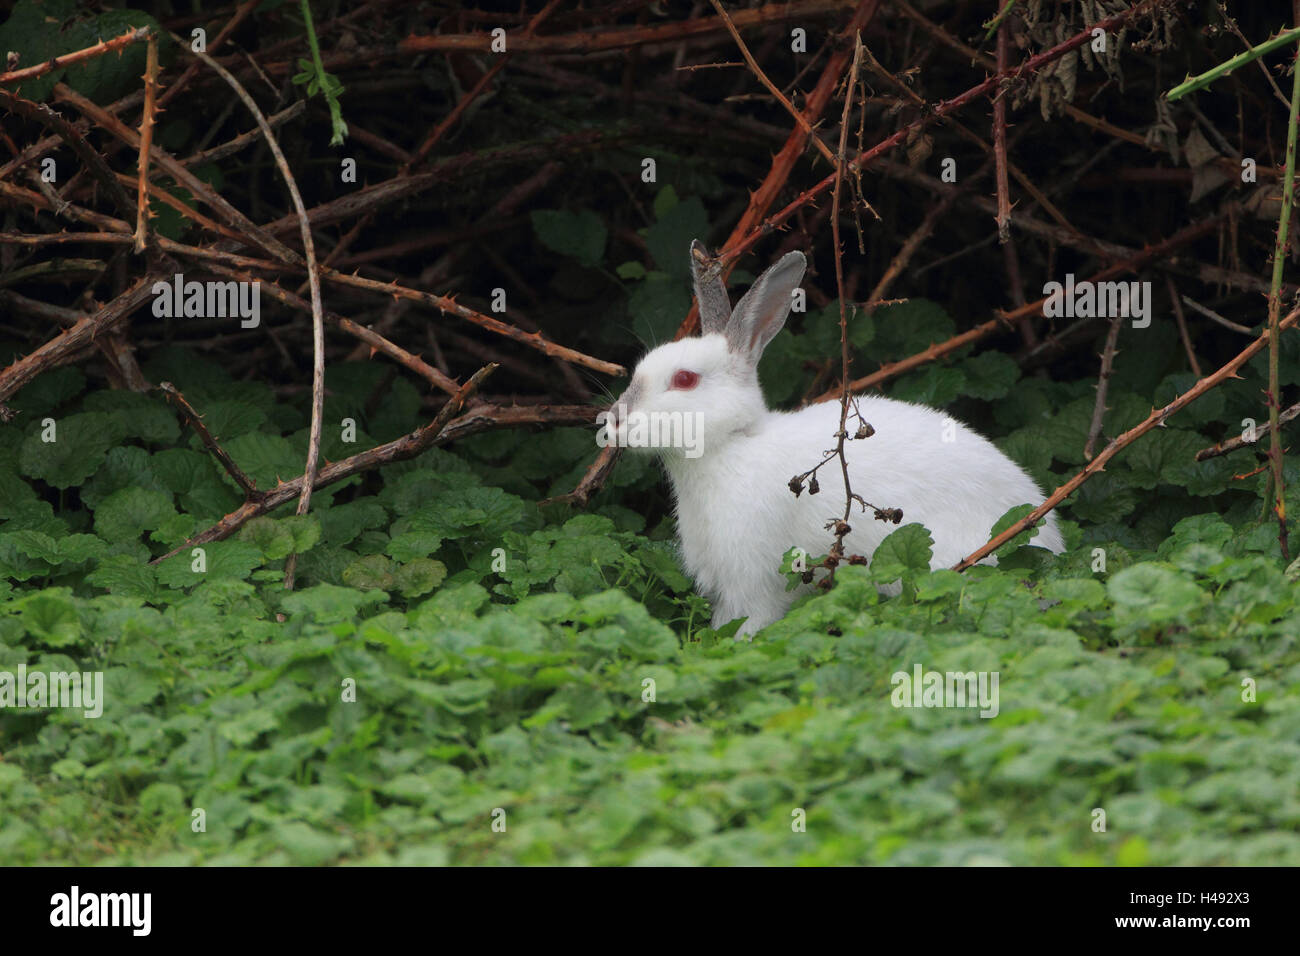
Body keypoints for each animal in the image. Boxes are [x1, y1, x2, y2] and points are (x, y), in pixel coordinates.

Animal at [606, 240, 1064, 638]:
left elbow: (747, 624)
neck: (732, 444)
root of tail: (1051, 540)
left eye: (684, 379)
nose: (614, 422)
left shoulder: (753, 585)